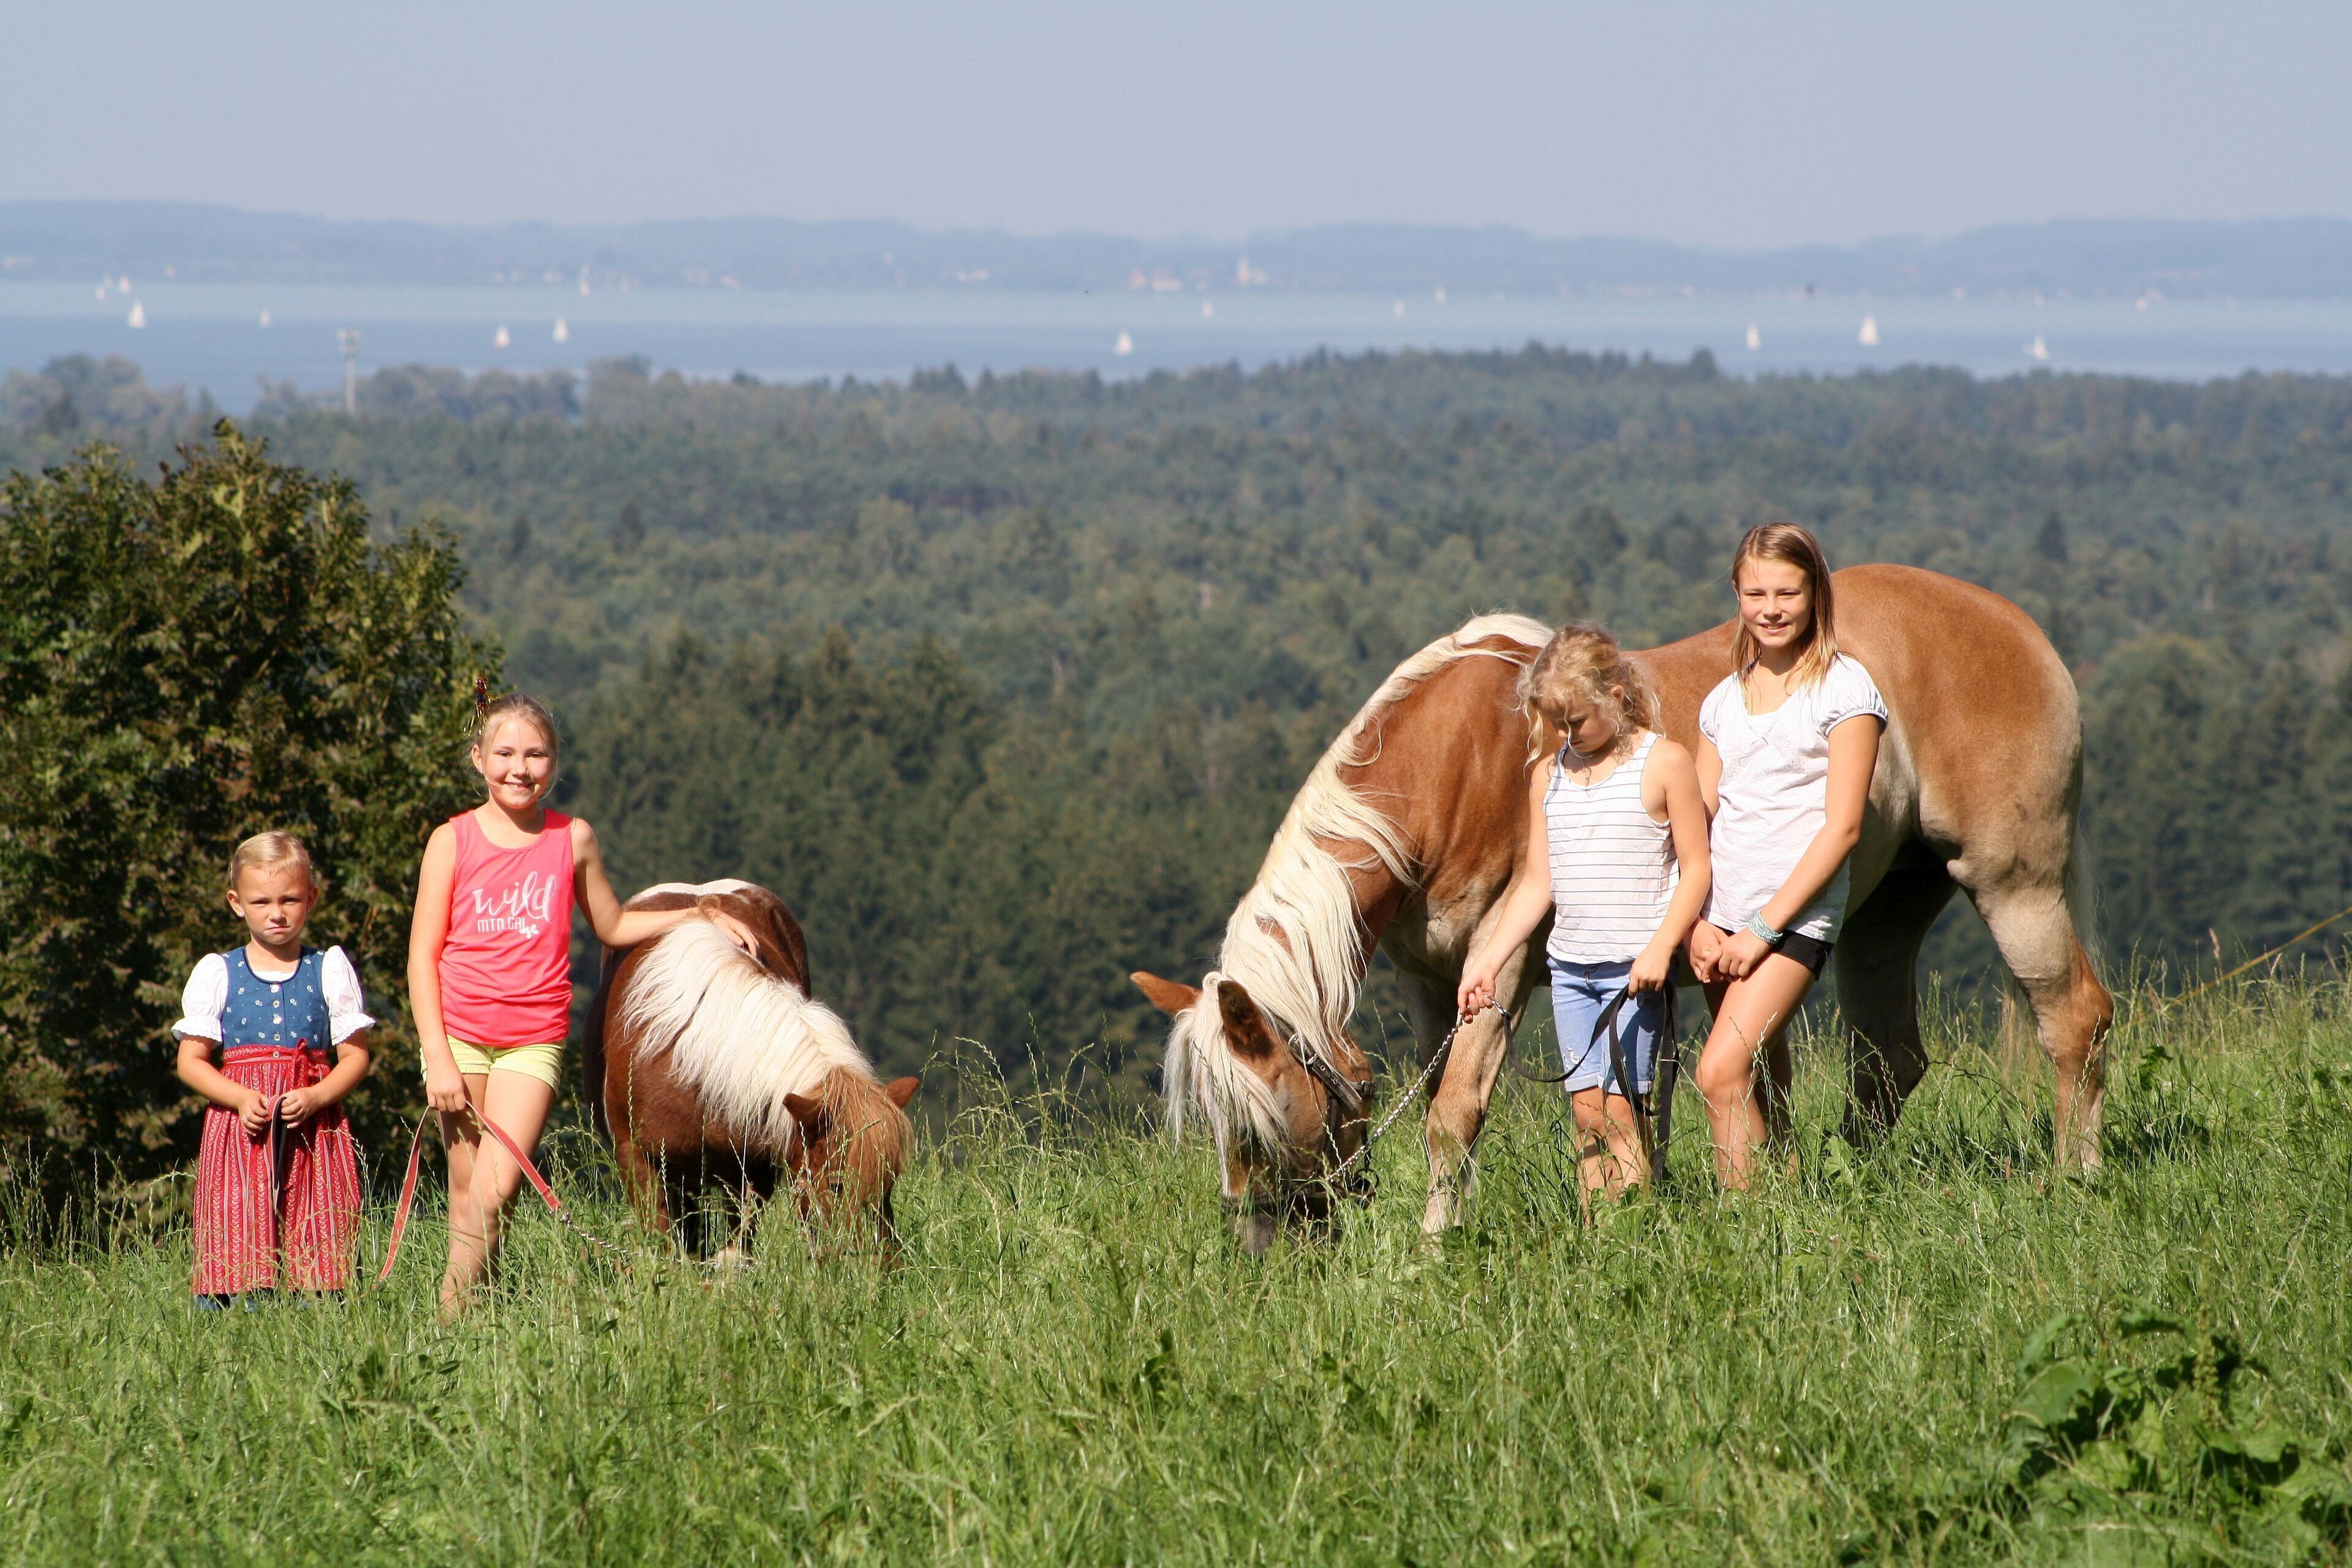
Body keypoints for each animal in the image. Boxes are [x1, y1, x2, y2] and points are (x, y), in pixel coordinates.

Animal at [584, 880, 919, 1259]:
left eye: (890, 1181)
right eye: (837, 1185)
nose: (882, 1263)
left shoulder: (752, 1171)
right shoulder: (638, 1160)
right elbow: (666, 1248)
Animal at [1133, 564, 2112, 1251]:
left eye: (1263, 1122)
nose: (1261, 1246)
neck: (1463, 761)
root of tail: (2021, 629)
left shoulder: (1507, 964)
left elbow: (1455, 1115)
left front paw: (1433, 1252)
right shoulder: (1435, 983)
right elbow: (1467, 1109)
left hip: (2013, 880)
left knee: (2075, 1019)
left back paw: (2077, 1178)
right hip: (1886, 911)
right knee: (1887, 1061)